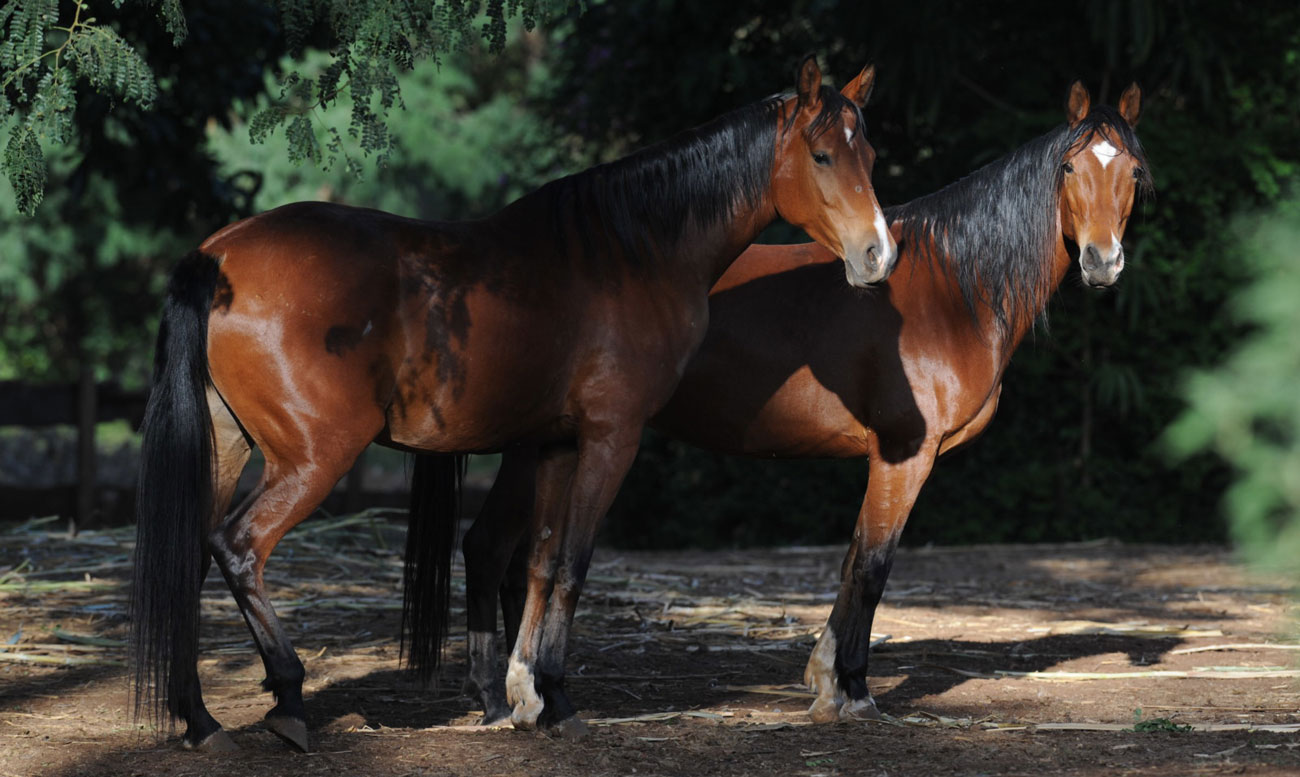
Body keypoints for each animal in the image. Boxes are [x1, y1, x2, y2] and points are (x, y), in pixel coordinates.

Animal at [131, 56, 899, 753]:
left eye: (868, 154)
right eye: (822, 154)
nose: (877, 255)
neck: (630, 253)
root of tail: (218, 256)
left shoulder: (555, 442)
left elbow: (540, 562)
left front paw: (529, 693)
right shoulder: (611, 437)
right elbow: (573, 565)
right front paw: (555, 697)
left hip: (227, 447)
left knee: (191, 561)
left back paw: (200, 720)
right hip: (313, 458)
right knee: (239, 548)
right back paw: (287, 700)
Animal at [465, 80, 1149, 722]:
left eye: (1134, 173)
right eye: (1069, 168)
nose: (1102, 261)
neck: (953, 288)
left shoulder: (887, 459)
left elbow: (851, 560)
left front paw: (827, 681)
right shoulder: (905, 454)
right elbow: (872, 568)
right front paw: (854, 691)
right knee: (491, 545)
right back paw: (502, 697)